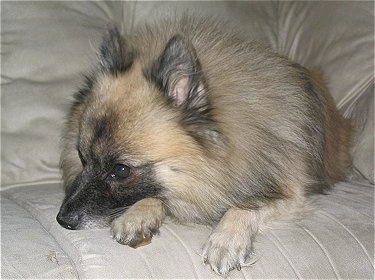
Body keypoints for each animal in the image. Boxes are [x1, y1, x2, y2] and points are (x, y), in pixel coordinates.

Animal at [55, 14, 352, 276]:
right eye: (82, 158)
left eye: (121, 170)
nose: (62, 220)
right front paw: (138, 214)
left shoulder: (292, 194)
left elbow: (245, 205)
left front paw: (226, 240)